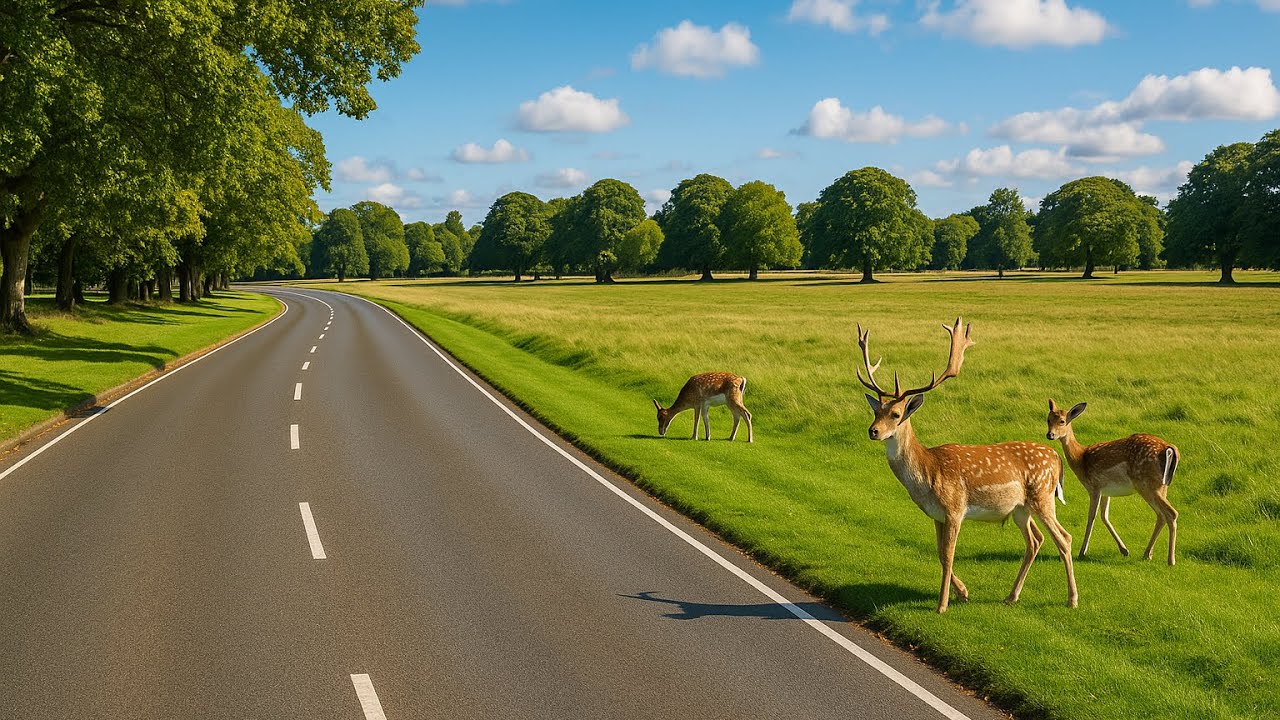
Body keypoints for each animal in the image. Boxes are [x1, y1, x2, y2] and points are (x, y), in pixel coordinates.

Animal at [858, 319, 1078, 613]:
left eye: (895, 414)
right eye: (875, 411)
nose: (873, 431)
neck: (929, 472)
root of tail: (1056, 458)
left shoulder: (954, 508)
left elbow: (949, 555)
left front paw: (942, 605)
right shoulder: (936, 515)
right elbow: (940, 553)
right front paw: (962, 593)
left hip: (1043, 496)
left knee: (1064, 539)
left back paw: (1072, 599)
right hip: (1020, 508)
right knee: (1035, 541)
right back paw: (1011, 596)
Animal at [1046, 400, 1180, 565]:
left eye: (1062, 421)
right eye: (1048, 419)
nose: (1050, 434)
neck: (1080, 459)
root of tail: (1170, 448)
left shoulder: (1094, 486)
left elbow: (1092, 517)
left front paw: (1082, 552)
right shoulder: (1106, 491)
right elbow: (1105, 516)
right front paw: (1124, 550)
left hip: (1146, 483)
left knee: (1170, 513)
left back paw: (1170, 560)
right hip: (1161, 485)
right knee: (1161, 515)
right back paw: (1147, 554)